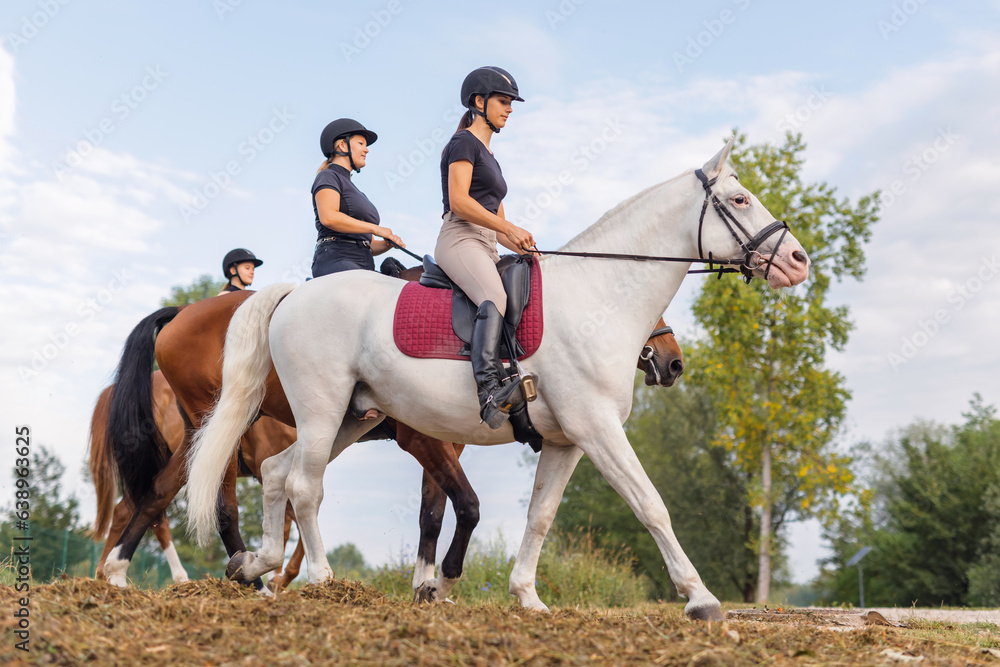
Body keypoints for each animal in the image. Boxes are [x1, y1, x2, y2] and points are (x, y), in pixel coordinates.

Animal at [186, 139, 810, 620]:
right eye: (739, 199)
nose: (798, 261)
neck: (598, 295)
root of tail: (296, 293)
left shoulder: (566, 441)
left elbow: (540, 517)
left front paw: (525, 597)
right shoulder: (598, 428)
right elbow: (651, 504)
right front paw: (701, 599)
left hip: (352, 417)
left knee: (275, 473)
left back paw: (257, 566)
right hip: (322, 410)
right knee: (303, 485)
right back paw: (320, 578)